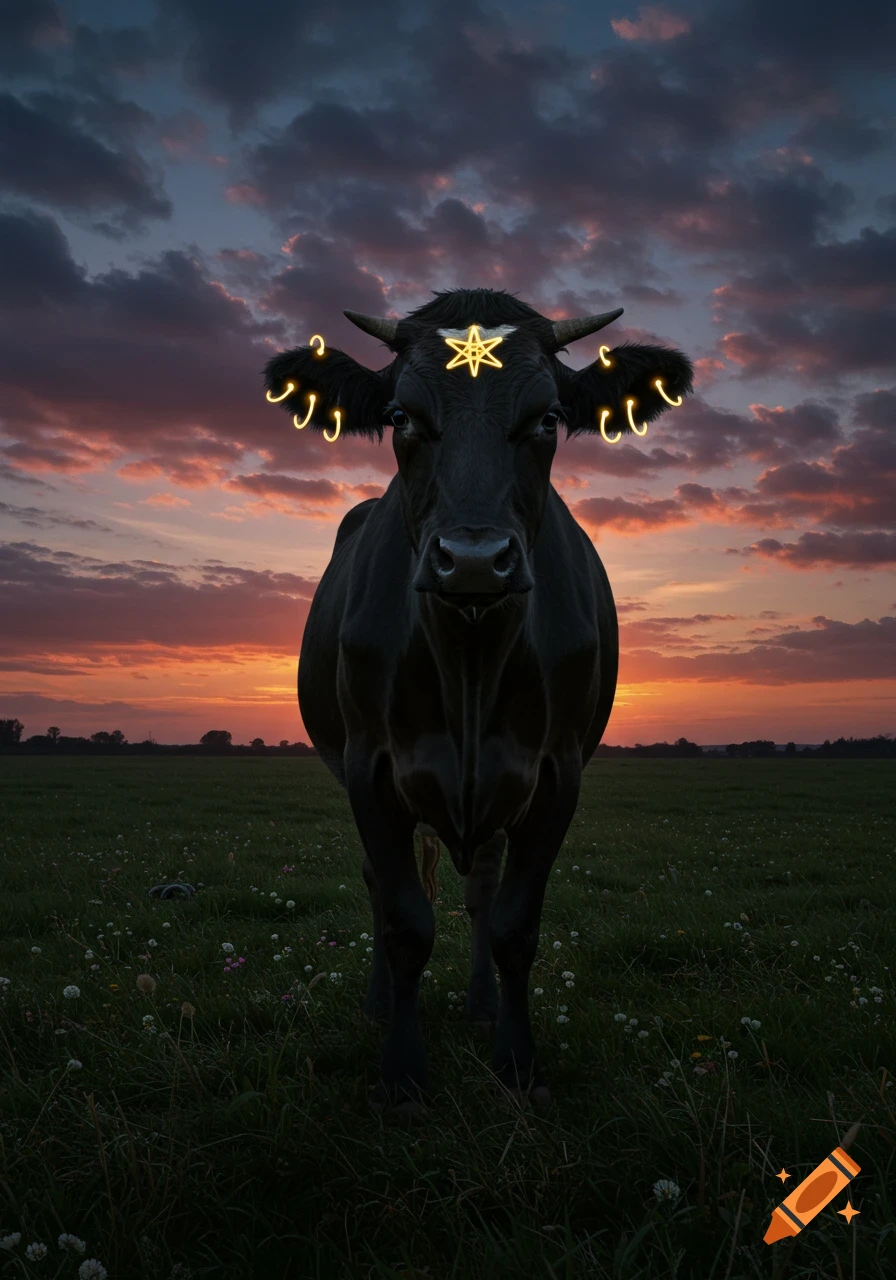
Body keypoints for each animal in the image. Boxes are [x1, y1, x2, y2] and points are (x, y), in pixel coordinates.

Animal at [262, 288, 693, 1116]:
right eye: (400, 417)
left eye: (548, 418)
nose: (470, 560)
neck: (470, 656)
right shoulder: (369, 765)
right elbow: (404, 919)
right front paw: (401, 1076)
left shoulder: (555, 771)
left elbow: (514, 925)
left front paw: (517, 1064)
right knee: (382, 886)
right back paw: (378, 1003)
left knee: (482, 886)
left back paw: (484, 1004)